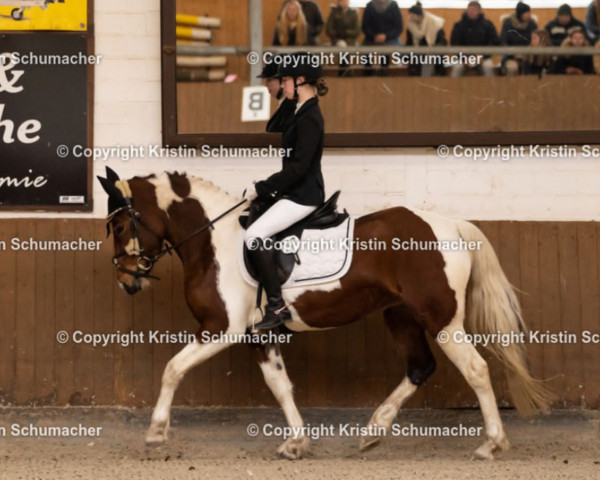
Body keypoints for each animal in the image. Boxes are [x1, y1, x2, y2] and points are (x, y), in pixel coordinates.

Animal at [98, 169, 552, 462]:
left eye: (119, 226)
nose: (125, 280)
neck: (213, 242)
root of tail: (451, 225)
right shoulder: (259, 335)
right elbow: (280, 386)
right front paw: (297, 443)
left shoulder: (221, 329)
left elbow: (172, 369)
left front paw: (156, 432)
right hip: (401, 316)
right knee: (420, 367)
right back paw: (372, 432)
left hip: (441, 321)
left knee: (475, 370)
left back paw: (491, 444)